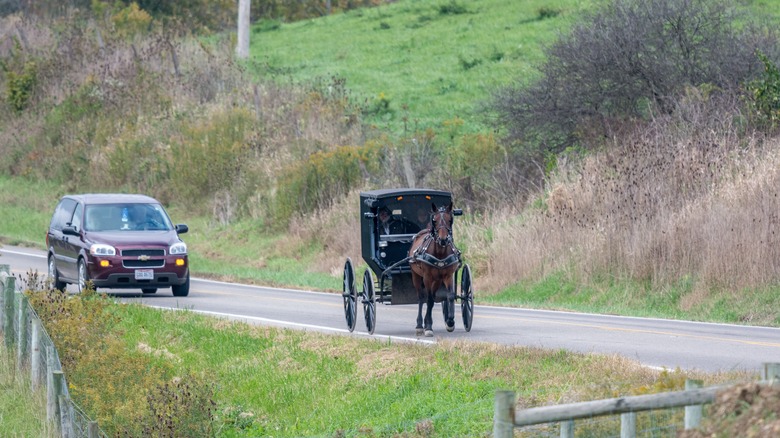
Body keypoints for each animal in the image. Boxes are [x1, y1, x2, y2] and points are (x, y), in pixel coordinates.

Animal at [408, 201, 458, 336]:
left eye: (450, 219)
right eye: (435, 220)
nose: (443, 239)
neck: (439, 253)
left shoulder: (447, 276)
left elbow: (450, 296)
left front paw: (450, 322)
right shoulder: (427, 277)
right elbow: (429, 300)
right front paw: (428, 327)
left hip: (437, 280)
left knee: (432, 296)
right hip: (416, 276)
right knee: (421, 298)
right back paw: (420, 325)